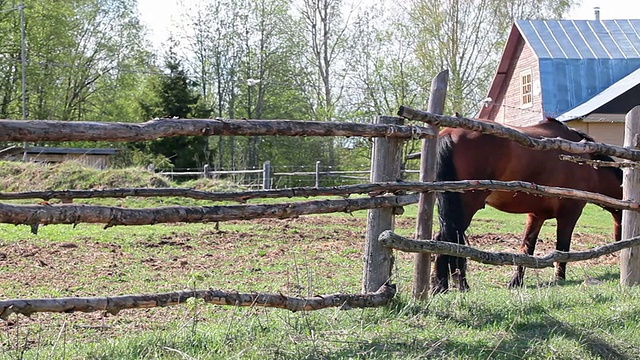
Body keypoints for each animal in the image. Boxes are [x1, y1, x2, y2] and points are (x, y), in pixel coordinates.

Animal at [432, 116, 624, 294]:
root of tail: (450, 133)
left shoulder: (536, 216)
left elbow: (526, 249)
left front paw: (516, 282)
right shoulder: (569, 215)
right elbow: (562, 248)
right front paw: (559, 279)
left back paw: (444, 286)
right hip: (464, 210)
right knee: (448, 240)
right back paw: (448, 286)